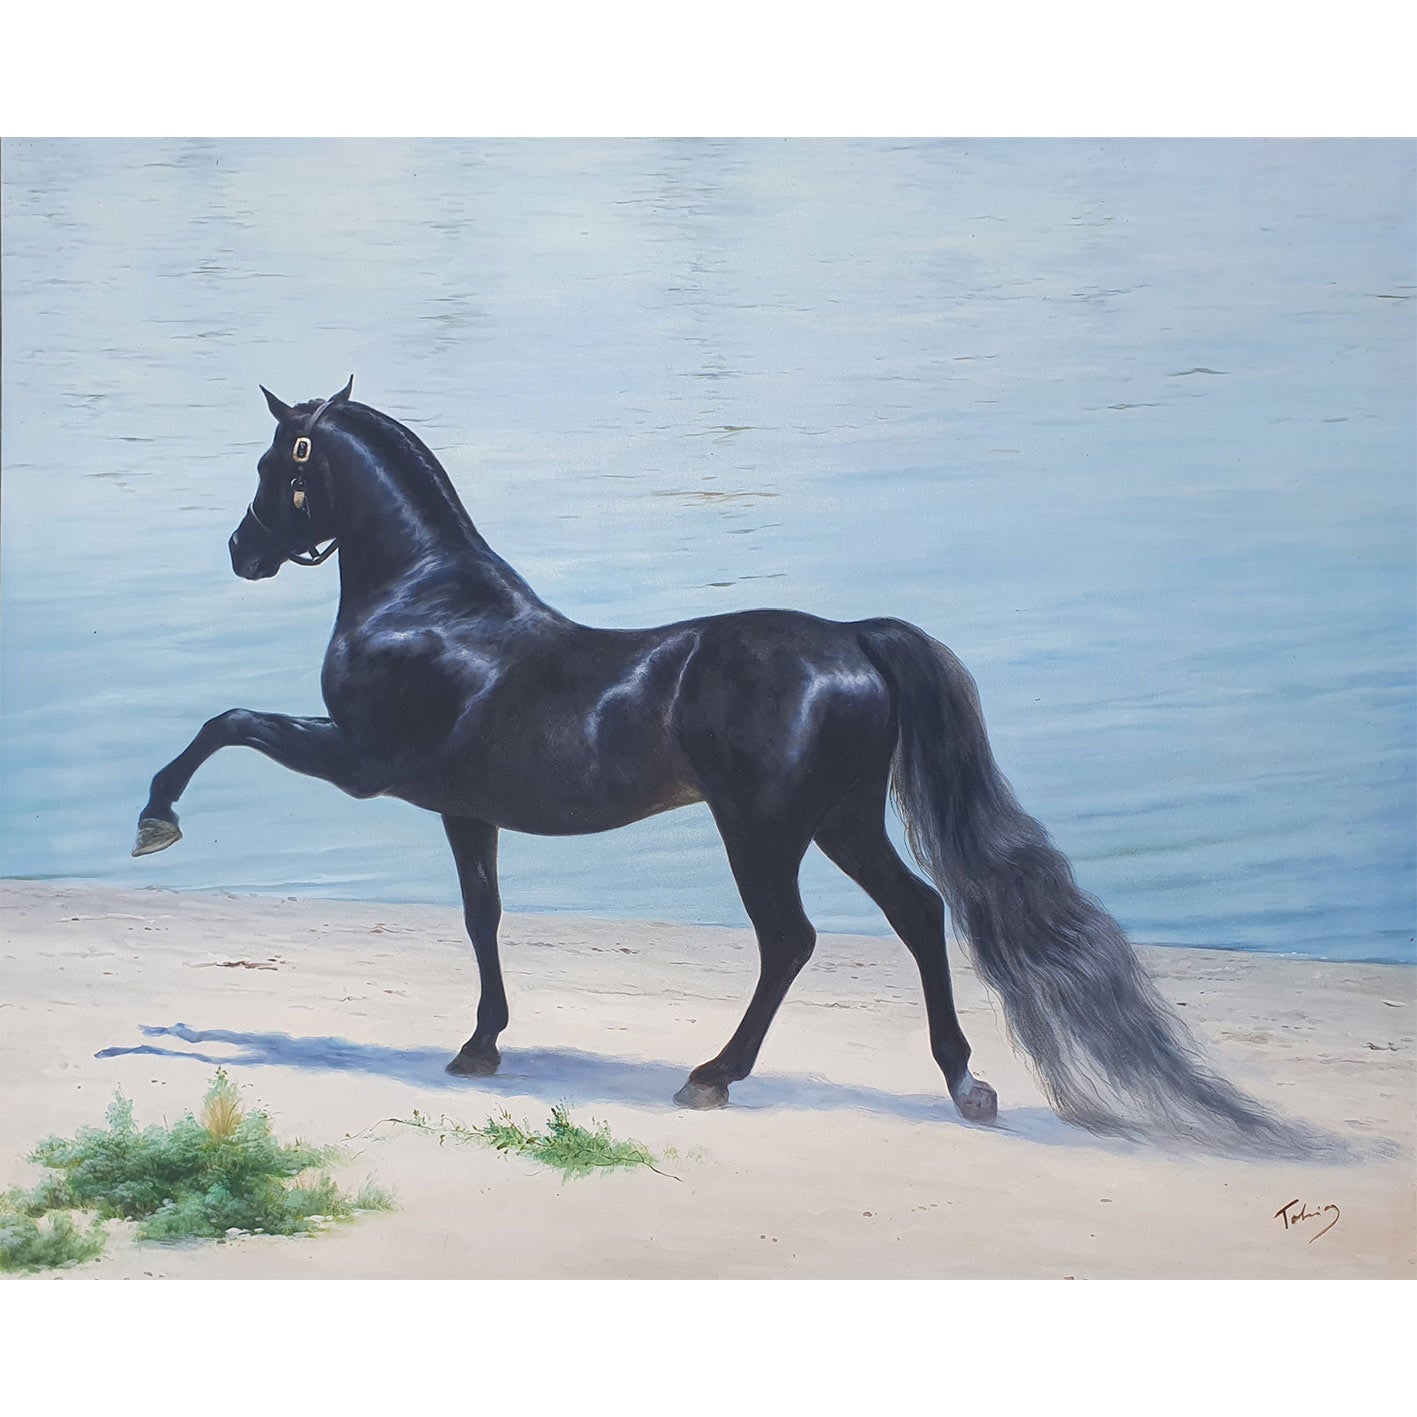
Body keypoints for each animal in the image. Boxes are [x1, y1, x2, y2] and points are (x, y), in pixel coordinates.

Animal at [134, 378, 1309, 1151]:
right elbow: (482, 918)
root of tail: (854, 639)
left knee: (791, 940)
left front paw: (156, 819)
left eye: (272, 469)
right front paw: (480, 1046)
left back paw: (713, 1076)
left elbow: (227, 721)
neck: (428, 604)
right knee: (919, 912)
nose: (239, 551)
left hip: (765, 829)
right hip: (841, 821)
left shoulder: (362, 761)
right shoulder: (464, 809)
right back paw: (964, 1083)